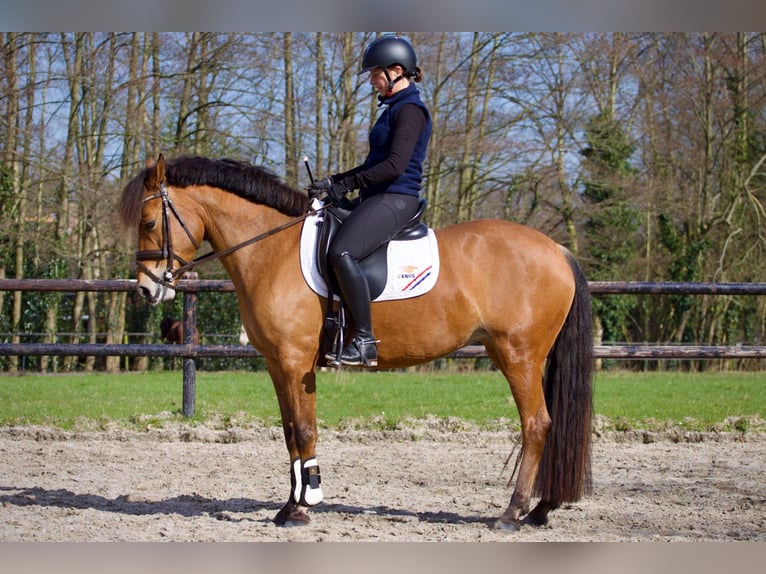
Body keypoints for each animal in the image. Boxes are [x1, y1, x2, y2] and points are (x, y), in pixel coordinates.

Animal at [119, 154, 593, 532]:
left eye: (149, 222)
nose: (146, 289)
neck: (272, 249)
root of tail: (556, 248)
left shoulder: (295, 362)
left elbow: (305, 429)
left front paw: (303, 507)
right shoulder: (276, 364)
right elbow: (290, 433)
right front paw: (290, 505)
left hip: (520, 355)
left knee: (537, 425)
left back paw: (512, 514)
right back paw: (541, 509)